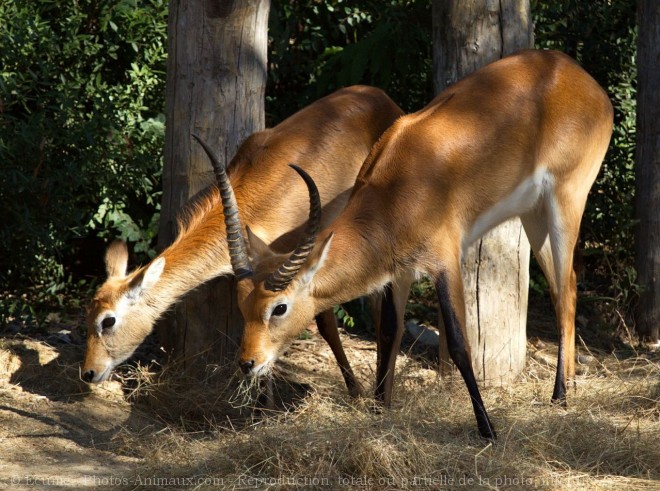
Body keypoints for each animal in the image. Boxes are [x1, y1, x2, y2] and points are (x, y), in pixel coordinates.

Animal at [220, 51, 612, 442]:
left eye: (279, 307)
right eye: (241, 303)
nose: (247, 362)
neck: (395, 190)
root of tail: (578, 75)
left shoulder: (445, 261)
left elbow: (458, 342)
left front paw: (487, 429)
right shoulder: (400, 271)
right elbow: (388, 331)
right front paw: (380, 410)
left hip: (566, 200)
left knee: (564, 294)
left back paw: (559, 397)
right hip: (533, 214)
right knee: (567, 288)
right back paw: (569, 384)